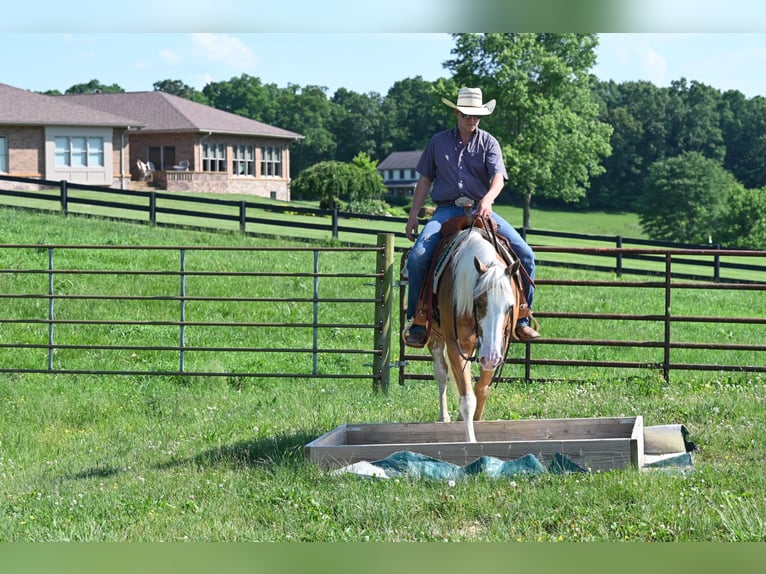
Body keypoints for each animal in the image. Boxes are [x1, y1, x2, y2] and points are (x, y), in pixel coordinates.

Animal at [426, 223, 520, 444]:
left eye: (509, 307)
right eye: (478, 303)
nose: (491, 357)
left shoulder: (496, 346)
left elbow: (481, 389)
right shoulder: (456, 345)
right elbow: (467, 399)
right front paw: (471, 442)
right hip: (436, 337)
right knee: (441, 372)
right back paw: (443, 417)